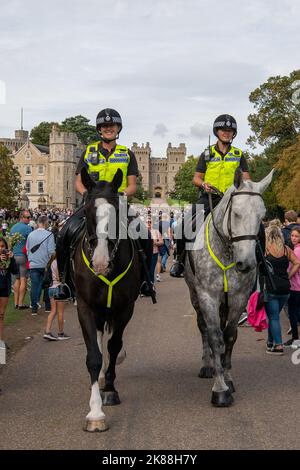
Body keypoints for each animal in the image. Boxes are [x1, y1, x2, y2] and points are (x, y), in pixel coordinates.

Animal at [74, 168, 141, 430]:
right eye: (86, 210)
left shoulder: (125, 308)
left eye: (117, 211)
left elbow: (114, 347)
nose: (100, 262)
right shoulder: (85, 306)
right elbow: (93, 355)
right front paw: (95, 413)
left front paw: (111, 391)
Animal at [184, 171, 274, 406]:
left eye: (262, 216)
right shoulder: (207, 296)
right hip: (195, 296)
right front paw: (220, 388)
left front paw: (228, 378)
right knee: (204, 328)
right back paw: (207, 366)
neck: (226, 249)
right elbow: (215, 336)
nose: (246, 263)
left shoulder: (238, 297)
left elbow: (230, 336)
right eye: (236, 213)